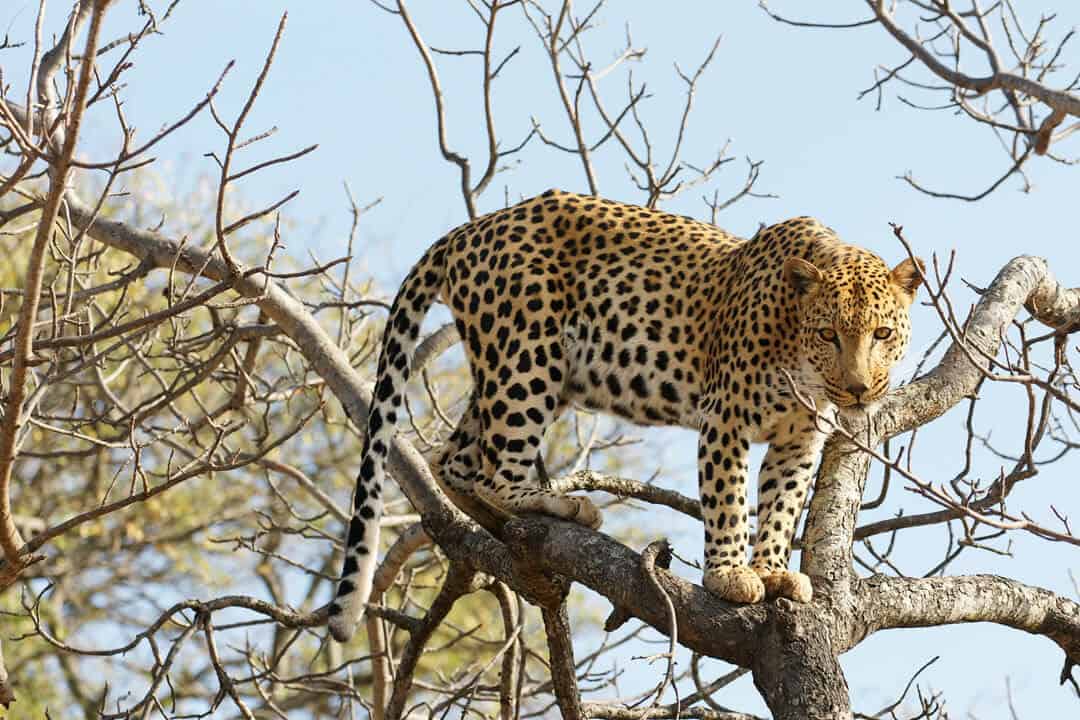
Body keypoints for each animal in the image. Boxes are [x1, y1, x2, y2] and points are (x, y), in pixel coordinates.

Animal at [327, 189, 923, 642]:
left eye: (882, 334)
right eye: (828, 334)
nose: (858, 388)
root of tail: (470, 228)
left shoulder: (799, 438)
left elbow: (780, 506)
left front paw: (774, 571)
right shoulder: (725, 419)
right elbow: (729, 500)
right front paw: (731, 575)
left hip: (529, 368)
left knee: (453, 458)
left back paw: (493, 518)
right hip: (528, 356)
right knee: (495, 466)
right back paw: (554, 503)